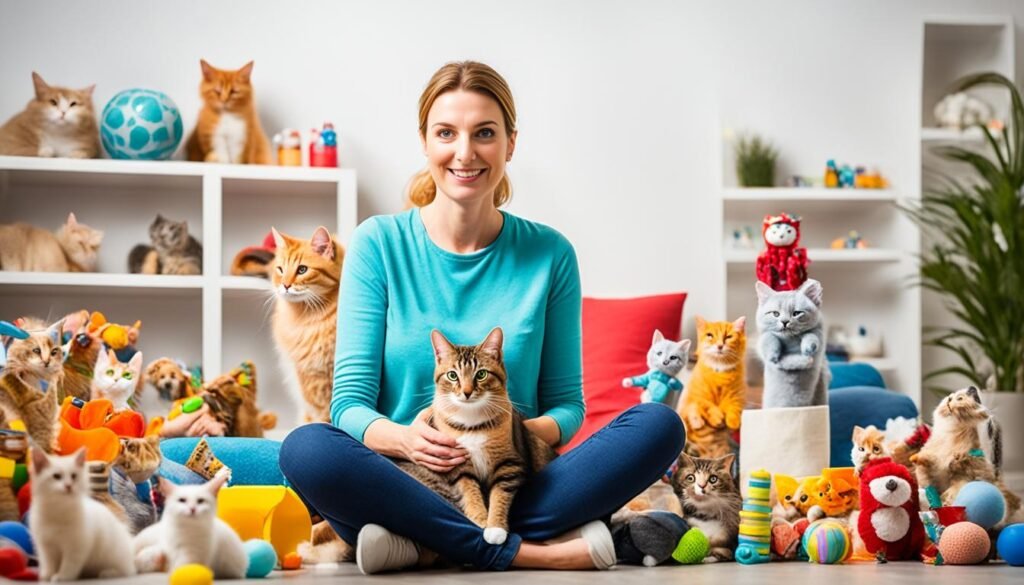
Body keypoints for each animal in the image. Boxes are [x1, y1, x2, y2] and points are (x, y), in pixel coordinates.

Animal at [29, 448, 137, 581]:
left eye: (74, 476)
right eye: (56, 476)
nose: (68, 486)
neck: (59, 509)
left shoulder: (77, 547)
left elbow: (69, 565)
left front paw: (61, 577)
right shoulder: (45, 546)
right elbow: (49, 563)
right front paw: (46, 576)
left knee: (126, 570)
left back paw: (108, 573)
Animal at [395, 329, 557, 545]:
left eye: (481, 374)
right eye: (452, 375)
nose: (467, 392)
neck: (472, 423)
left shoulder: (509, 464)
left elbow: (500, 494)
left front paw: (495, 527)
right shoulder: (457, 463)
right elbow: (470, 490)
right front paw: (480, 520)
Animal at [675, 315, 749, 456]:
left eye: (728, 337)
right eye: (710, 335)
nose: (720, 346)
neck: (720, 369)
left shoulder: (737, 394)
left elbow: (734, 406)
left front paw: (733, 422)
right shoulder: (697, 396)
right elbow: (706, 406)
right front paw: (715, 418)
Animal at [757, 278, 827, 407]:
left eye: (796, 313)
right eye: (775, 314)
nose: (785, 322)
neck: (790, 340)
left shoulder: (819, 337)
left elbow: (812, 336)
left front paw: (808, 348)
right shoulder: (763, 339)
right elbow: (769, 339)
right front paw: (773, 354)